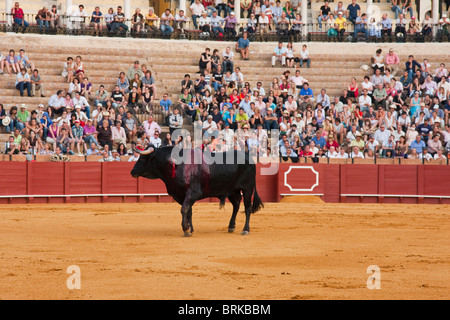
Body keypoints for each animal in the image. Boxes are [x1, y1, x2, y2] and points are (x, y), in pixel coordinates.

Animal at [130, 146, 264, 236]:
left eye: (143, 158)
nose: (132, 172)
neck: (176, 165)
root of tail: (250, 159)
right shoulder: (181, 195)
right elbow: (188, 211)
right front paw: (190, 229)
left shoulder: (193, 192)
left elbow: (184, 209)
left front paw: (185, 229)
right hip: (232, 190)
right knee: (236, 205)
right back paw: (231, 227)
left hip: (247, 188)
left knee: (247, 207)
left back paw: (245, 229)